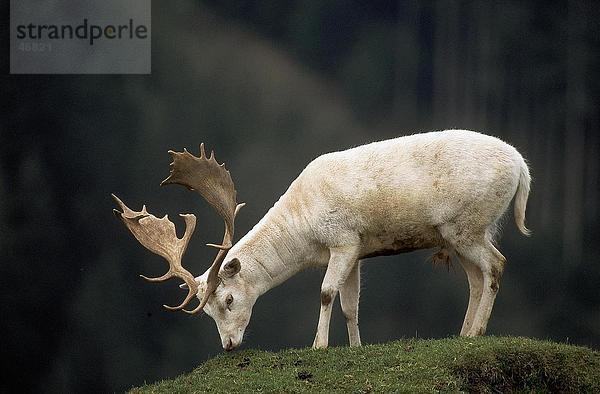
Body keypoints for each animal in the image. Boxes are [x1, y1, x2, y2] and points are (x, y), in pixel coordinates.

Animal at [112, 129, 528, 350]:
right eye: (209, 312)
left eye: (228, 299)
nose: (229, 345)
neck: (307, 233)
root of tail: (522, 168)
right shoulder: (358, 250)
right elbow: (350, 305)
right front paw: (356, 347)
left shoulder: (343, 239)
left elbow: (327, 292)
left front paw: (319, 345)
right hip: (462, 234)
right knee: (476, 278)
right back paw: (465, 335)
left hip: (469, 225)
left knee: (497, 265)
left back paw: (477, 331)